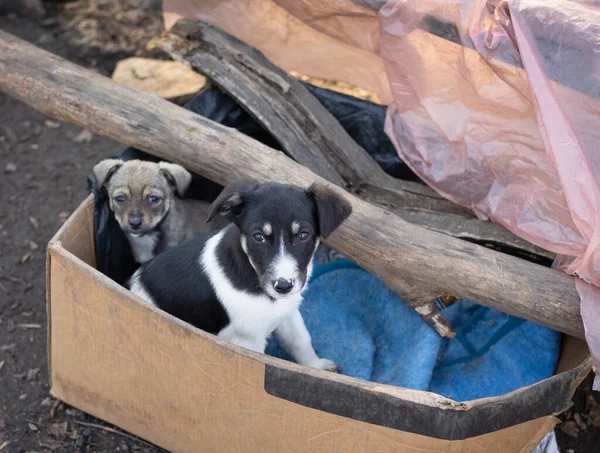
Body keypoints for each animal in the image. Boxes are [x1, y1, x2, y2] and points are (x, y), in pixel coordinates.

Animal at [126, 180, 352, 370]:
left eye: (303, 235)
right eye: (258, 237)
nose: (283, 286)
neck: (252, 275)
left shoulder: (287, 311)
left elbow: (301, 340)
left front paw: (317, 367)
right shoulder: (247, 341)